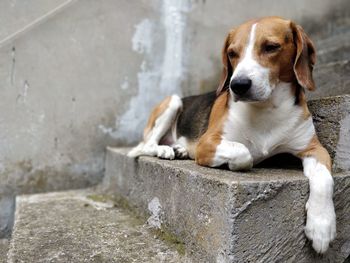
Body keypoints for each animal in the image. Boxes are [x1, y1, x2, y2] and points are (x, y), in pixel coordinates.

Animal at [129, 17, 336, 256]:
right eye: (231, 53)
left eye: (271, 47)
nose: (237, 85)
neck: (267, 108)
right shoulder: (207, 143)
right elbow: (244, 152)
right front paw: (238, 162)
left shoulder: (314, 149)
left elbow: (324, 179)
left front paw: (322, 226)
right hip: (173, 101)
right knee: (147, 145)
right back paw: (165, 150)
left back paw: (179, 149)